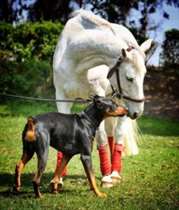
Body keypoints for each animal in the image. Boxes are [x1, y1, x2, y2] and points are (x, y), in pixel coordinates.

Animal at [52, 9, 153, 187]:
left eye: (144, 76)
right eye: (129, 78)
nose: (138, 112)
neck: (74, 59)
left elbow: (101, 137)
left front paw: (106, 177)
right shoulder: (61, 98)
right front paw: (59, 177)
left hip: (122, 103)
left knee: (117, 134)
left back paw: (114, 173)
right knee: (111, 133)